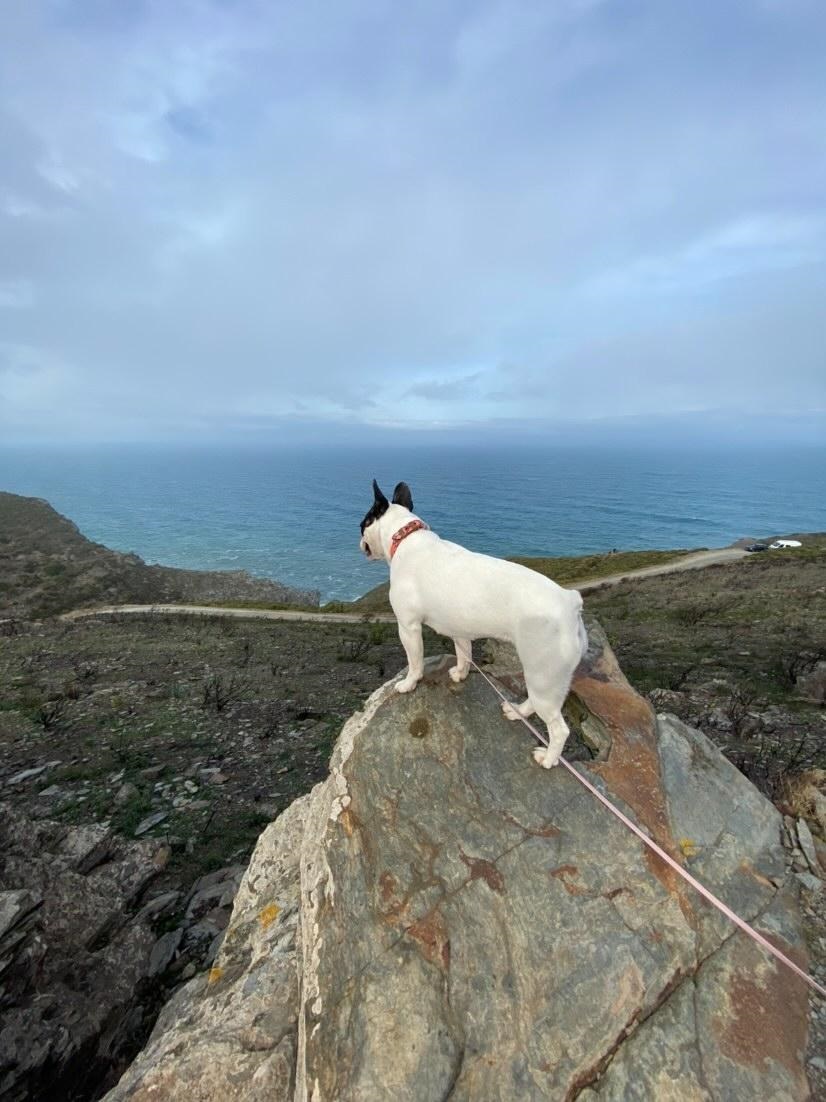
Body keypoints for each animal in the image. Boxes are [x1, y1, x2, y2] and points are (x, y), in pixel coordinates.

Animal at [361, 478, 590, 771]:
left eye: (362, 522)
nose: (359, 540)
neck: (406, 536)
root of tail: (570, 602)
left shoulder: (408, 627)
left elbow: (415, 662)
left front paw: (409, 683)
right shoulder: (459, 630)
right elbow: (464, 654)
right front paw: (460, 674)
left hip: (543, 675)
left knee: (559, 728)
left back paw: (548, 759)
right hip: (549, 679)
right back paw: (517, 711)